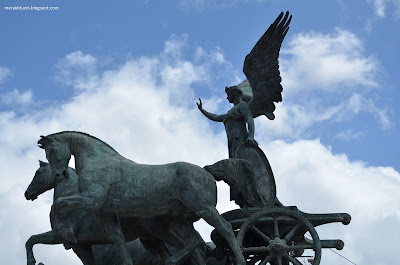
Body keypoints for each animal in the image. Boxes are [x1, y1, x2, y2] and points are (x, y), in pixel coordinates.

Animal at [37, 131, 244, 264]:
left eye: (51, 151)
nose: (60, 175)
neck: (96, 161)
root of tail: (206, 172)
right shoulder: (105, 216)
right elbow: (119, 243)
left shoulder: (91, 200)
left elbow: (58, 203)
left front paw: (65, 231)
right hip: (179, 221)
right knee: (194, 242)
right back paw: (170, 261)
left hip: (204, 209)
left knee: (225, 229)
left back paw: (240, 259)